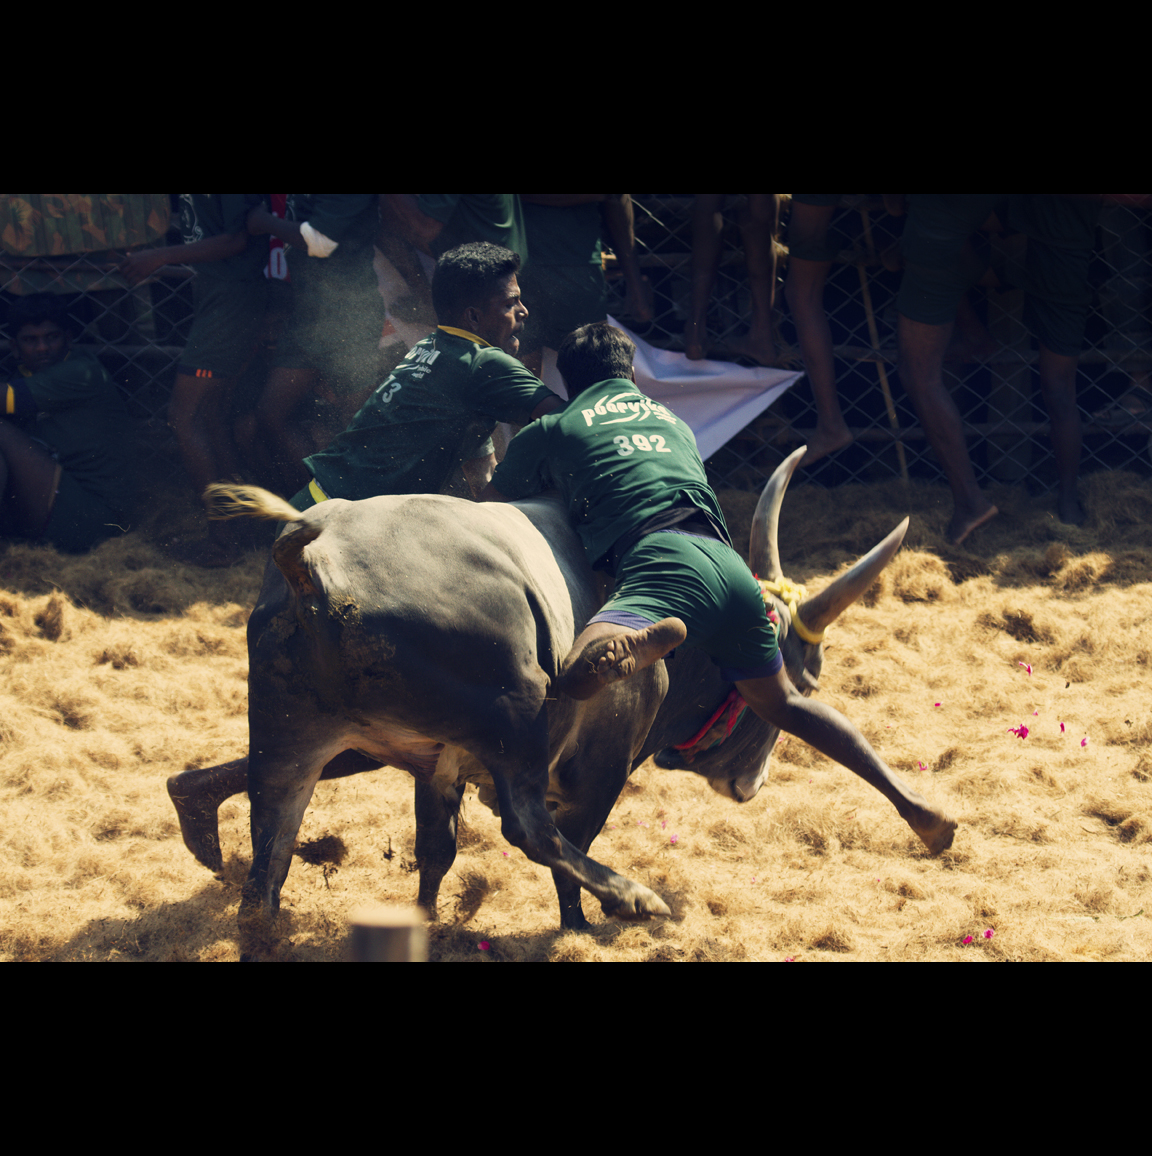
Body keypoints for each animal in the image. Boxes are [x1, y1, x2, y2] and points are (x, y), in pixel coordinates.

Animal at [166, 446, 947, 943]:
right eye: (807, 673)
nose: (747, 784)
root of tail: (315, 555)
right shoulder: (597, 763)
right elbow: (568, 835)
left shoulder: (436, 761)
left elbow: (435, 850)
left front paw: (425, 921)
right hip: (512, 711)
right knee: (529, 827)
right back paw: (633, 895)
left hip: (291, 738)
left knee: (265, 859)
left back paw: (212, 834)